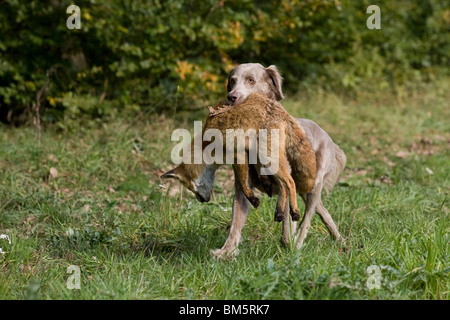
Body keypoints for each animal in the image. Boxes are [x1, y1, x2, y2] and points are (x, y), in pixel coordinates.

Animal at [162, 91, 316, 221]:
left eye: (190, 187)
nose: (201, 201)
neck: (207, 145)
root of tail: (284, 113)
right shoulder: (250, 151)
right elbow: (259, 173)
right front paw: (265, 184)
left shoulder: (238, 154)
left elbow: (242, 183)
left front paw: (252, 198)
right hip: (268, 155)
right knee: (284, 184)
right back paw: (279, 211)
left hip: (268, 156)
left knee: (290, 181)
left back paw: (294, 211)